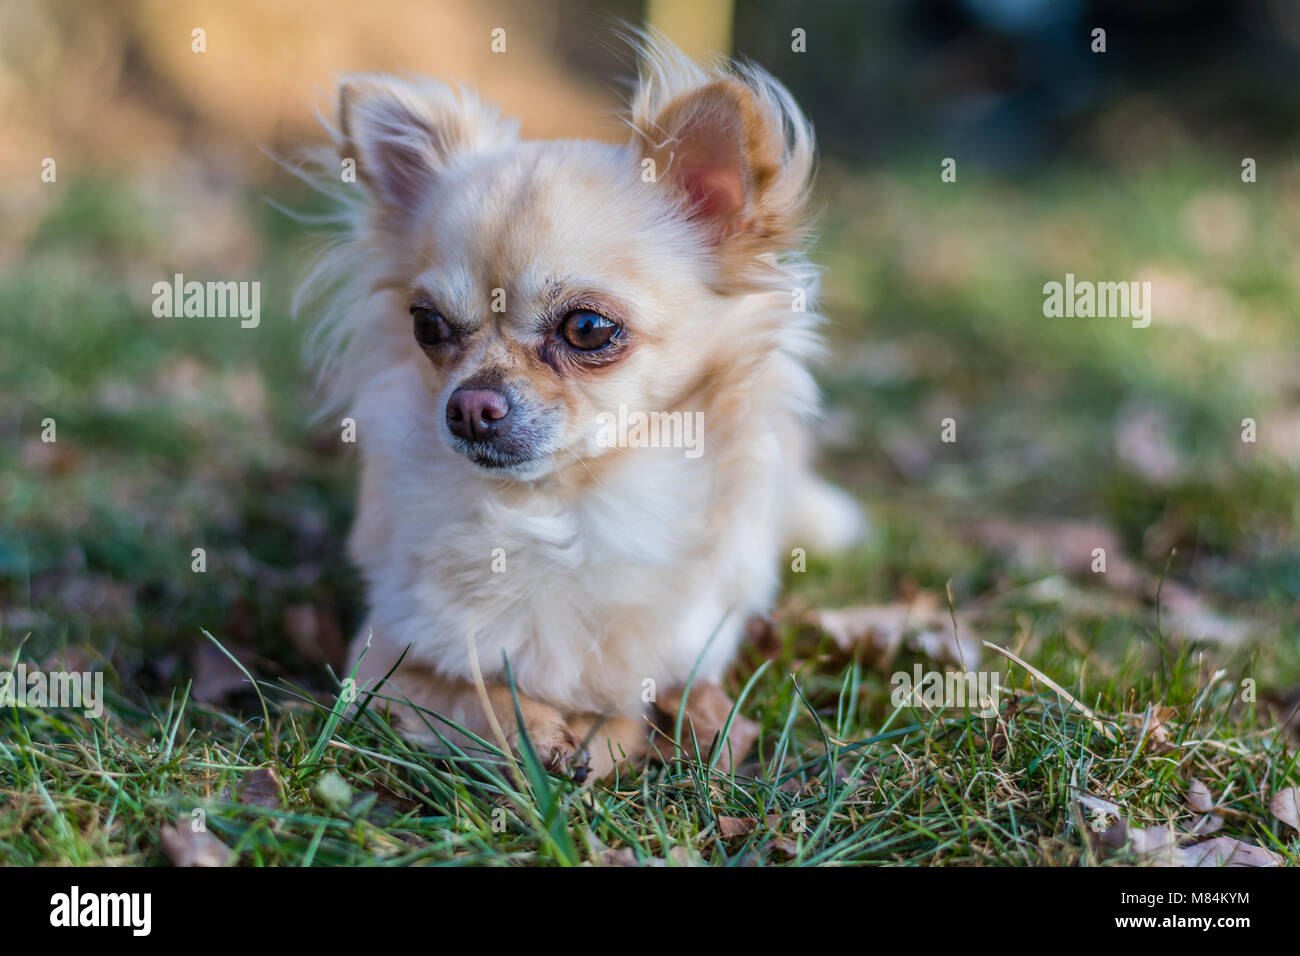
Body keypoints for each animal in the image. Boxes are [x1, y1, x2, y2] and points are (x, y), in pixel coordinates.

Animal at [299, 35, 857, 780]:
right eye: (427, 325)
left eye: (588, 328)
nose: (470, 406)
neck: (553, 511)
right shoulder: (378, 662)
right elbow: (467, 688)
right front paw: (532, 728)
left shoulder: (689, 653)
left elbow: (629, 701)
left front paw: (596, 731)